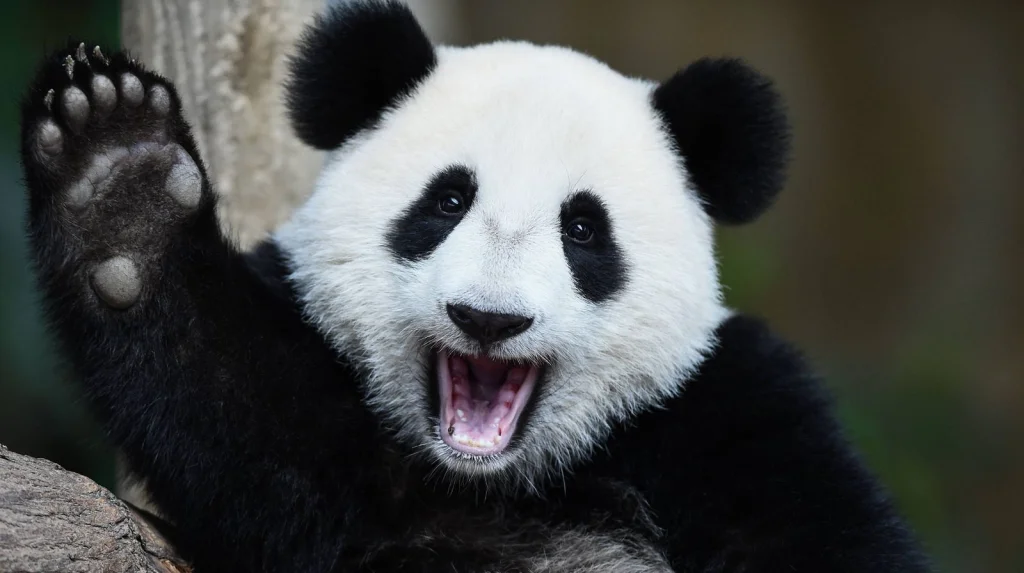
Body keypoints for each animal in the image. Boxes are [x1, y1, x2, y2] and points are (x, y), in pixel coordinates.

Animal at [19, 1, 932, 571]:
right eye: (448, 200)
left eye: (583, 230)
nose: (489, 319)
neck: (498, 477)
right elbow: (254, 426)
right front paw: (121, 181)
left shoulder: (729, 414)